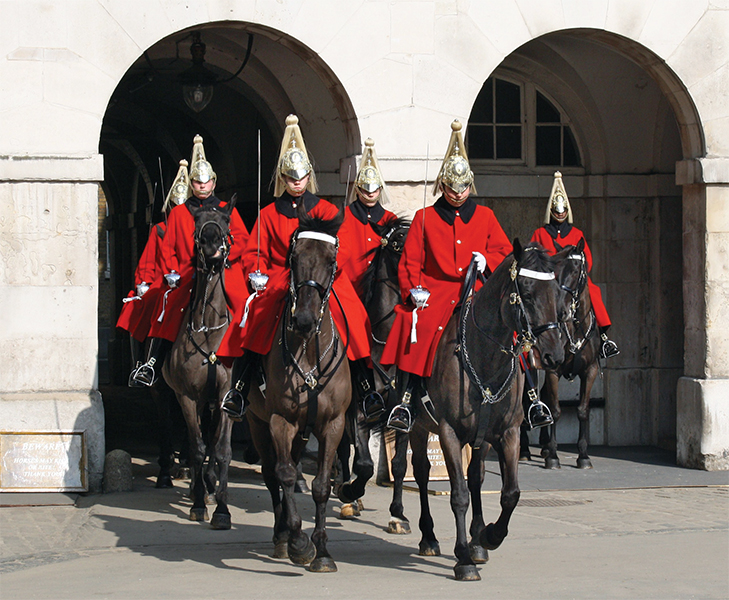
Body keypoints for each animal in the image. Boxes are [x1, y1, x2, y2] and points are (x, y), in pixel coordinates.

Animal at [246, 205, 354, 572]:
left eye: (332, 260)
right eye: (293, 258)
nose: (305, 319)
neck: (308, 351)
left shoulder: (332, 424)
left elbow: (320, 486)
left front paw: (321, 552)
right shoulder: (280, 421)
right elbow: (285, 476)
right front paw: (297, 542)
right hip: (258, 423)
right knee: (274, 474)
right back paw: (282, 536)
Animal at [334, 218, 412, 528]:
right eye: (398, 242)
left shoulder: (402, 416)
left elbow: (399, 464)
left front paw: (398, 513)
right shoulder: (358, 412)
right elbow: (364, 464)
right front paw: (348, 491)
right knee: (343, 451)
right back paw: (348, 497)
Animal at [396, 240, 564, 580]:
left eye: (556, 292)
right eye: (527, 293)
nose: (555, 355)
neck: (483, 356)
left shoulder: (507, 434)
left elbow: (509, 493)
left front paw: (488, 536)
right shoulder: (448, 433)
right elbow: (458, 494)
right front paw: (463, 558)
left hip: (480, 439)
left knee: (475, 476)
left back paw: (476, 539)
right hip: (419, 428)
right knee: (420, 473)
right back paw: (429, 537)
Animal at [520, 238, 600, 468]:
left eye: (575, 270)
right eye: (553, 273)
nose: (561, 310)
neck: (575, 327)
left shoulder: (590, 370)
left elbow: (582, 410)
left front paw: (583, 455)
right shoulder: (553, 371)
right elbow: (555, 410)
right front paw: (554, 457)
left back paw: (544, 445)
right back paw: (526, 449)